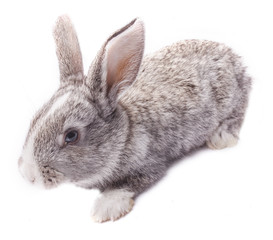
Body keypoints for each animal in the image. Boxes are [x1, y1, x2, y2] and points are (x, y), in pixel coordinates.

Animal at [17, 14, 251, 221]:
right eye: (34, 121)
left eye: (71, 136)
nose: (28, 175)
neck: (125, 133)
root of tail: (234, 57)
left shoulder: (148, 163)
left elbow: (127, 184)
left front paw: (106, 208)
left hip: (232, 95)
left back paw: (221, 136)